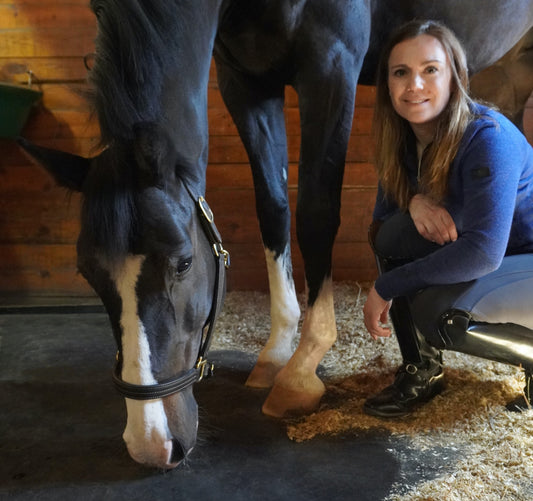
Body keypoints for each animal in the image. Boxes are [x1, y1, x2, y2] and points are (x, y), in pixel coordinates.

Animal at [17, 0, 532, 468]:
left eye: (183, 262)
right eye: (87, 273)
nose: (152, 444)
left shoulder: (330, 63)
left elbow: (316, 212)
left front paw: (302, 368)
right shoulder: (246, 82)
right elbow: (273, 207)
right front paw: (278, 349)